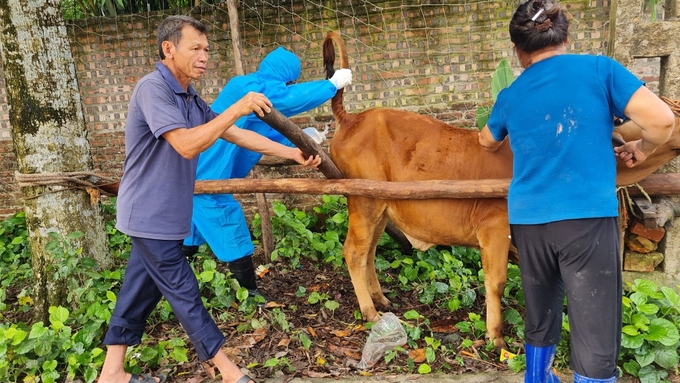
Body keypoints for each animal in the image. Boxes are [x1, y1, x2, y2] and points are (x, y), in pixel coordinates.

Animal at [322, 31, 680, 350]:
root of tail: (351, 120)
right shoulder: (495, 228)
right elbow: (497, 283)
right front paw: (496, 337)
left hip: (380, 208)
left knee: (369, 252)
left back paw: (381, 299)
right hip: (364, 201)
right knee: (354, 252)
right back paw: (369, 311)